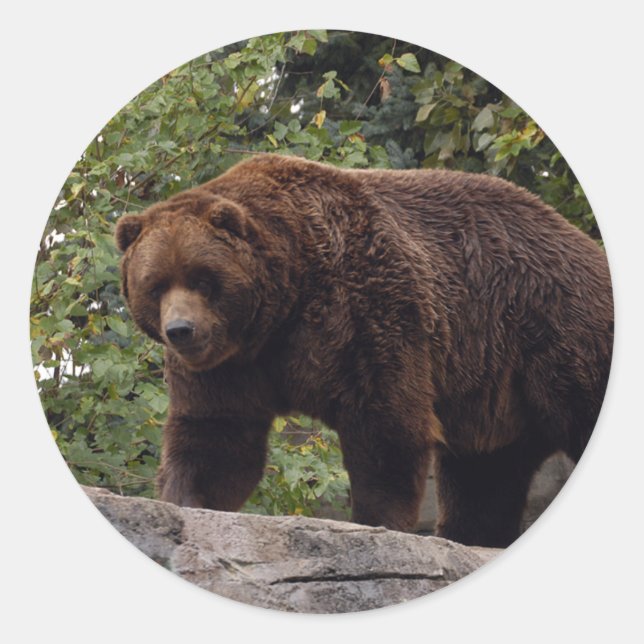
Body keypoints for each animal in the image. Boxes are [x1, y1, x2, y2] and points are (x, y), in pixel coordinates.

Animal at [115, 153, 613, 548]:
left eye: (203, 278)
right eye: (155, 284)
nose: (181, 330)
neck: (283, 305)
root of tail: (586, 246)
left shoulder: (364, 305)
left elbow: (384, 417)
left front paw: (377, 522)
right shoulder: (231, 363)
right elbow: (217, 433)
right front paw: (184, 501)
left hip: (554, 330)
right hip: (495, 388)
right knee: (486, 472)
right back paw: (470, 537)